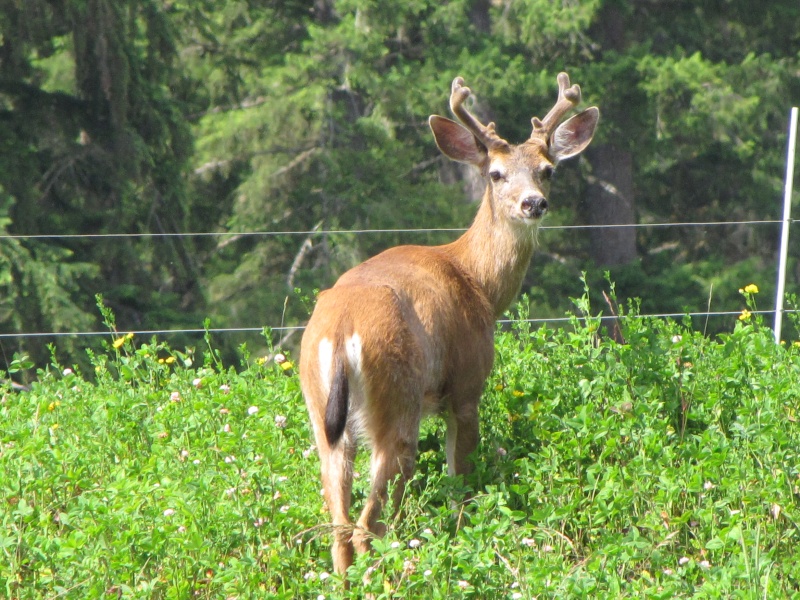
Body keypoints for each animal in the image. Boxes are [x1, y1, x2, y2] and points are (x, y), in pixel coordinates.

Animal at [296, 72, 596, 576]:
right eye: (496, 174)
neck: (477, 282)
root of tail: (338, 335)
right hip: (398, 400)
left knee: (338, 525)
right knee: (369, 525)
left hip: (322, 415)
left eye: (547, 169)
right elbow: (462, 487)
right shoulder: (467, 386)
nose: (533, 204)